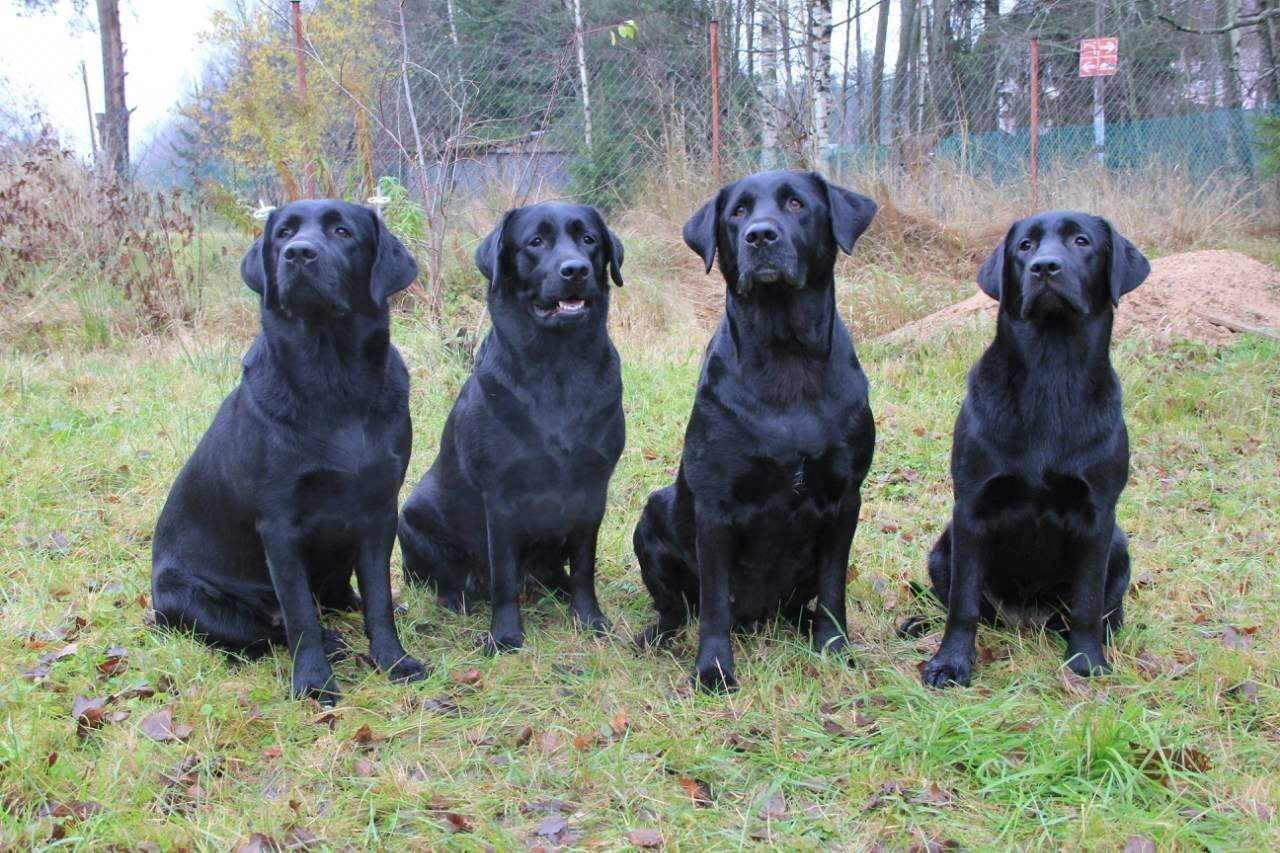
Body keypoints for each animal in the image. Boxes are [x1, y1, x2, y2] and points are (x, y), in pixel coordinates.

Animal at [152, 199, 424, 701]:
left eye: (342, 231)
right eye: (283, 233)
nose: (298, 253)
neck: (334, 383)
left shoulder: (380, 511)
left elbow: (379, 599)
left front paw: (394, 661)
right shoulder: (279, 525)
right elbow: (300, 616)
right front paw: (315, 682)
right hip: (189, 599)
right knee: (266, 629)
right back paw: (330, 643)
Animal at [394, 201, 624, 650]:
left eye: (589, 239)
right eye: (535, 242)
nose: (575, 270)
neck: (558, 368)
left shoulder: (594, 487)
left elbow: (584, 564)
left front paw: (589, 618)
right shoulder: (500, 495)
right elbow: (503, 573)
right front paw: (504, 636)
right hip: (411, 516)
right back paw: (458, 597)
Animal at [632, 169, 880, 686]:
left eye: (796, 203)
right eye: (739, 212)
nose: (760, 236)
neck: (785, 357)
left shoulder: (845, 497)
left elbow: (834, 588)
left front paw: (834, 648)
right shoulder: (714, 505)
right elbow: (713, 604)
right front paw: (713, 669)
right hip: (653, 509)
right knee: (675, 608)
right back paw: (657, 636)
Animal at [911, 211, 1152, 686]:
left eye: (1082, 241)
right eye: (1025, 246)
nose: (1045, 267)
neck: (1051, 373)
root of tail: (1024, 619)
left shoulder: (1098, 516)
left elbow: (1087, 604)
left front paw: (1086, 661)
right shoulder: (971, 509)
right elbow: (963, 603)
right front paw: (950, 663)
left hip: (1118, 545)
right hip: (944, 544)